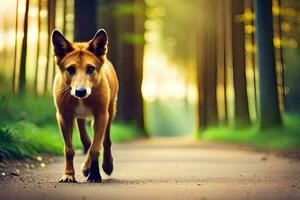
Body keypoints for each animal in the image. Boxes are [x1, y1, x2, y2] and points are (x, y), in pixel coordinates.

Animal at [51, 29, 118, 183]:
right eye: (70, 69)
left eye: (90, 68)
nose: (80, 91)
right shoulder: (64, 116)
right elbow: (69, 150)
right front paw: (69, 174)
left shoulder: (101, 115)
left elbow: (95, 149)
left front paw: (94, 174)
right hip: (80, 118)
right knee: (86, 140)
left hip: (110, 111)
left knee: (105, 141)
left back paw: (107, 165)